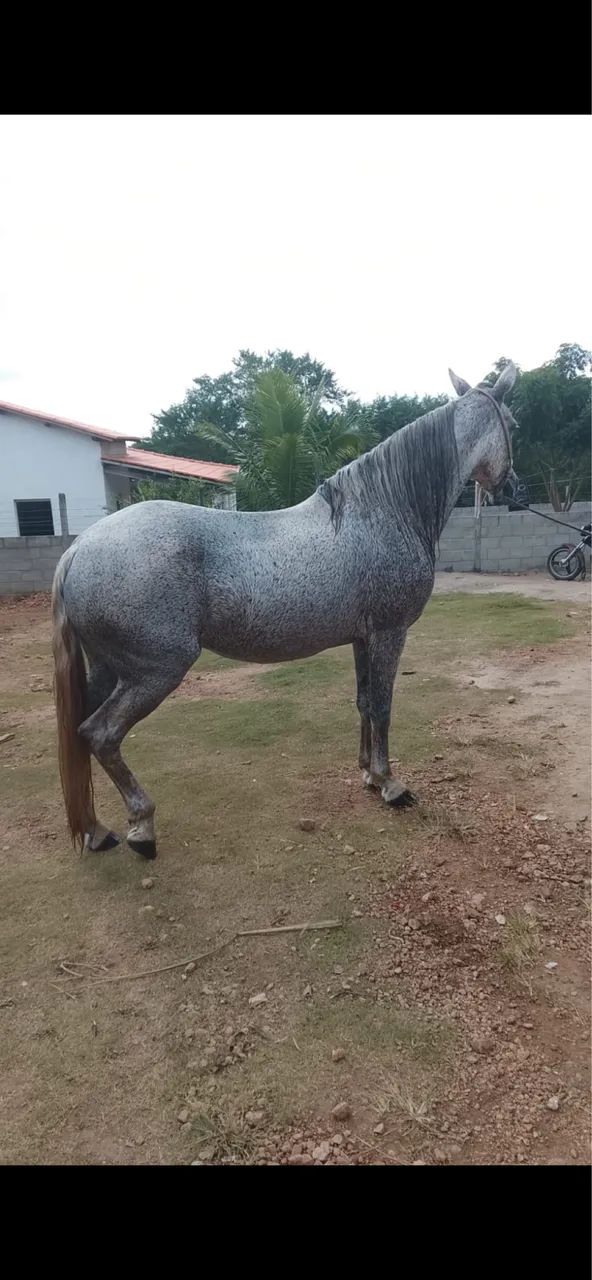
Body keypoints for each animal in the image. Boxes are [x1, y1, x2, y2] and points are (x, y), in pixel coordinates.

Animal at [52, 363, 518, 859]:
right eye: (513, 422)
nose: (510, 487)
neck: (384, 511)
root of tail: (79, 548)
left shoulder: (363, 637)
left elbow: (364, 702)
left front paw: (368, 775)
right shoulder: (390, 633)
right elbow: (383, 704)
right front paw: (391, 784)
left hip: (107, 669)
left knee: (79, 736)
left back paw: (97, 830)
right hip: (154, 671)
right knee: (101, 734)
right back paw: (142, 828)